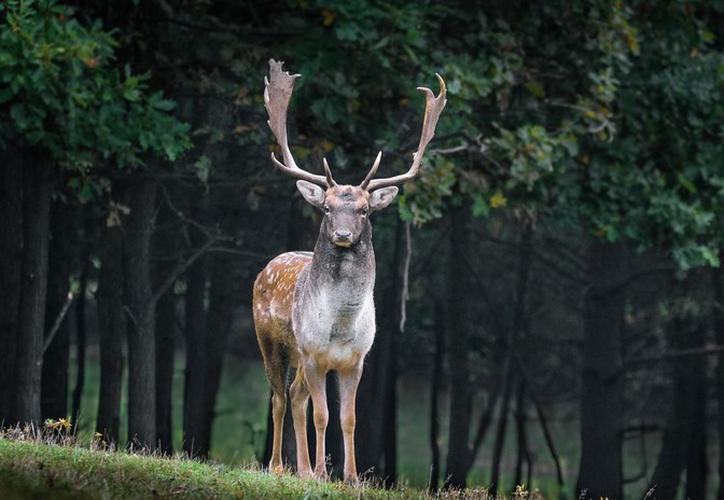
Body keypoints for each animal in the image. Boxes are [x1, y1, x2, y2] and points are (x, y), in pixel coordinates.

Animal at [253, 59, 446, 484]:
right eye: (327, 207)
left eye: (364, 210)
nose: (342, 235)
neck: (340, 326)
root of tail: (267, 266)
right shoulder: (313, 354)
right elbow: (322, 415)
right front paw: (322, 473)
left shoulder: (356, 360)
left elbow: (349, 418)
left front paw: (351, 476)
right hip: (271, 341)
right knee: (278, 397)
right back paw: (279, 466)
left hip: (299, 358)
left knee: (295, 396)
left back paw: (302, 469)